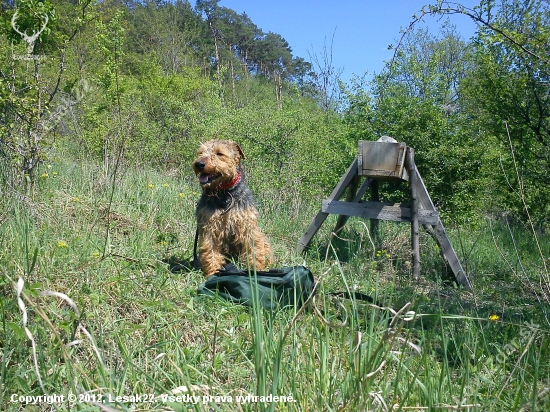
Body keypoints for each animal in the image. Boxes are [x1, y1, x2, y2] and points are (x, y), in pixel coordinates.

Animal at [192, 139, 274, 276]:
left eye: (220, 153)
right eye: (200, 152)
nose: (199, 164)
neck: (225, 194)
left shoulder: (247, 227)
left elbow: (254, 251)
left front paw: (257, 271)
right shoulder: (209, 228)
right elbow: (211, 253)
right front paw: (213, 273)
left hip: (263, 238)